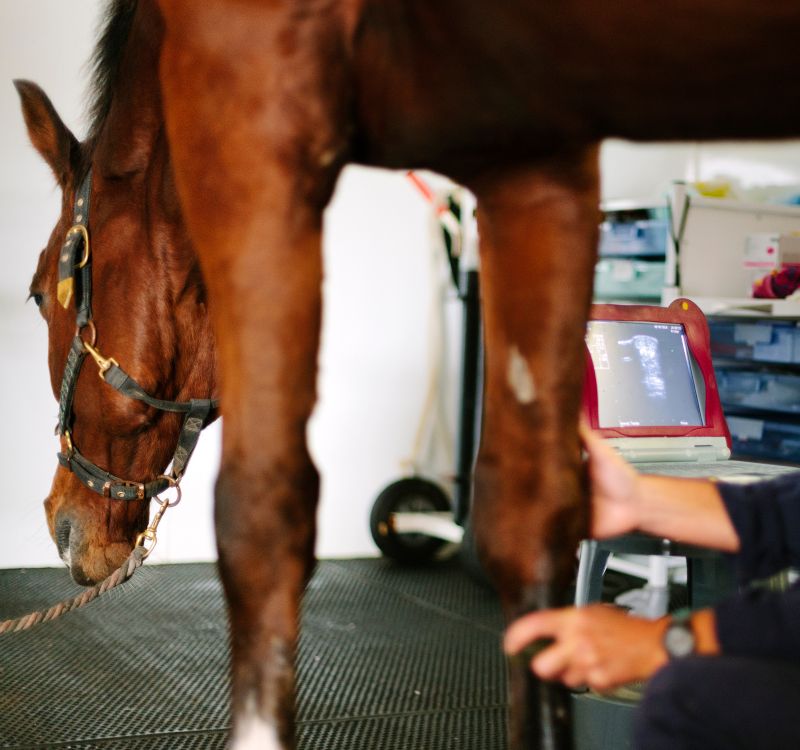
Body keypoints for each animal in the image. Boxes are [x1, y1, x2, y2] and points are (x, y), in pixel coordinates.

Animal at [17, 1, 800, 750]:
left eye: (36, 292)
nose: (59, 522)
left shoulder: (254, 122)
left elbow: (259, 523)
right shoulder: (538, 164)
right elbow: (531, 522)